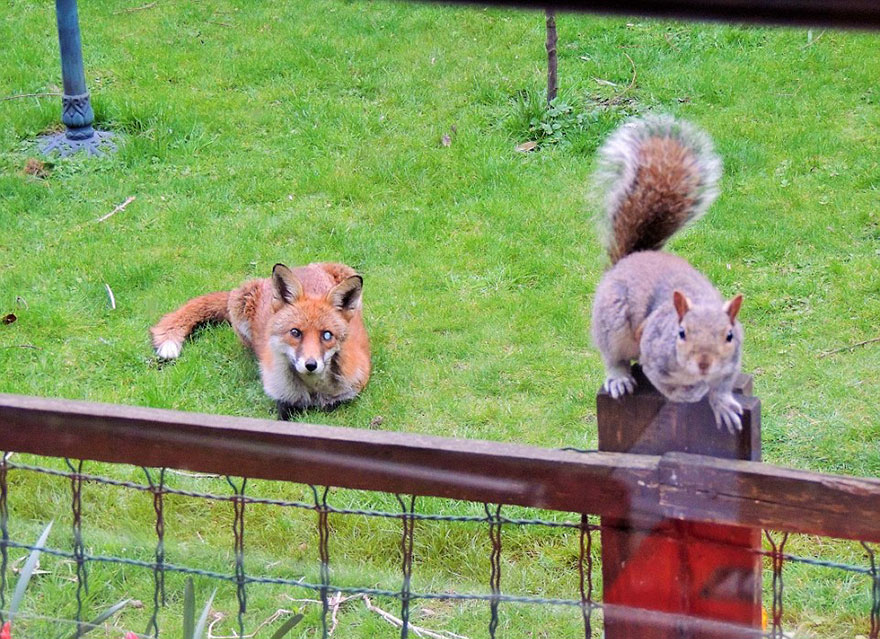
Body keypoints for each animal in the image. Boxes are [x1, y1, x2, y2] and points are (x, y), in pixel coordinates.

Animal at [150, 262, 371, 419]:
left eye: (327, 335)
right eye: (295, 332)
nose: (310, 364)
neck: (313, 392)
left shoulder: (351, 390)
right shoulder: (281, 398)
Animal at [590, 115, 745, 432]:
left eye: (729, 336)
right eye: (681, 333)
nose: (704, 363)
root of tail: (632, 259)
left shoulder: (732, 362)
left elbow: (723, 385)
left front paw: (722, 403)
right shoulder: (653, 356)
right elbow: (669, 387)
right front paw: (694, 391)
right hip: (611, 321)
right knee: (613, 355)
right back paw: (619, 377)